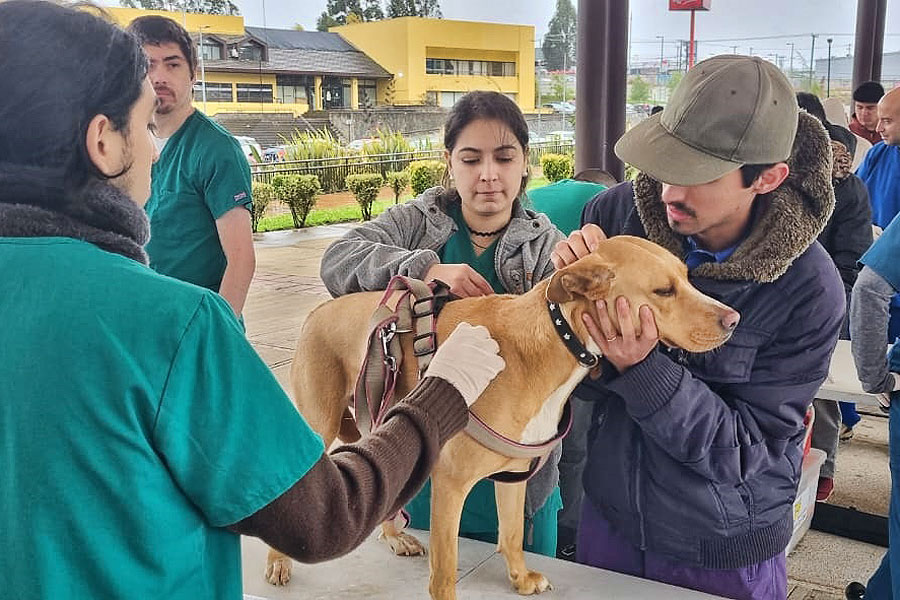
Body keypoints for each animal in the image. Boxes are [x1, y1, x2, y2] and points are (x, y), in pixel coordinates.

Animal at [266, 234, 740, 600]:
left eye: (686, 277)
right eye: (664, 291)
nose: (733, 319)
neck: (551, 340)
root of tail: (317, 312)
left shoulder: (514, 472)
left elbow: (510, 534)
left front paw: (520, 578)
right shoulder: (451, 484)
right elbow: (445, 572)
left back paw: (394, 535)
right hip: (319, 424)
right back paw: (279, 561)